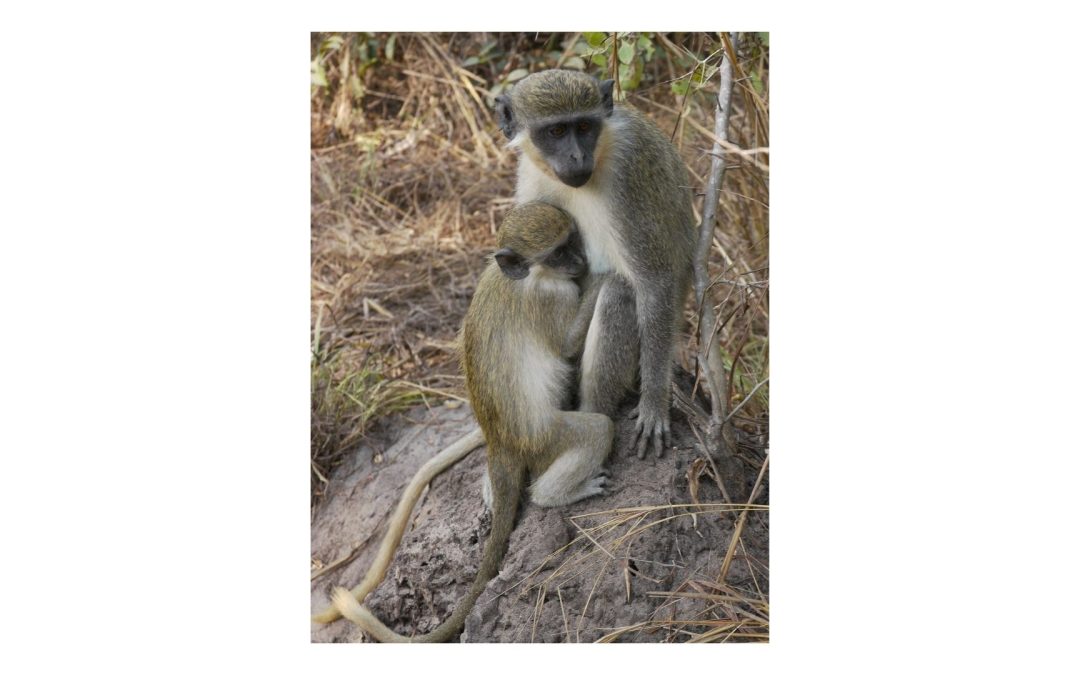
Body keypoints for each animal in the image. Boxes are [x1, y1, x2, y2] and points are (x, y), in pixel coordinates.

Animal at [324, 202, 615, 642]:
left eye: (572, 240)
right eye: (559, 253)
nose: (580, 262)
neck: (517, 277)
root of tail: (501, 442)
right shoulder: (552, 296)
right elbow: (566, 346)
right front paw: (600, 280)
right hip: (546, 436)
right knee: (596, 432)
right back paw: (558, 495)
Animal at [494, 69, 697, 459]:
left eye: (584, 126)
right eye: (556, 131)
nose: (576, 156)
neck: (603, 150)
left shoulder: (631, 170)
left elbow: (655, 282)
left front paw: (653, 403)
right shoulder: (532, 175)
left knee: (620, 291)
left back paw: (594, 415)